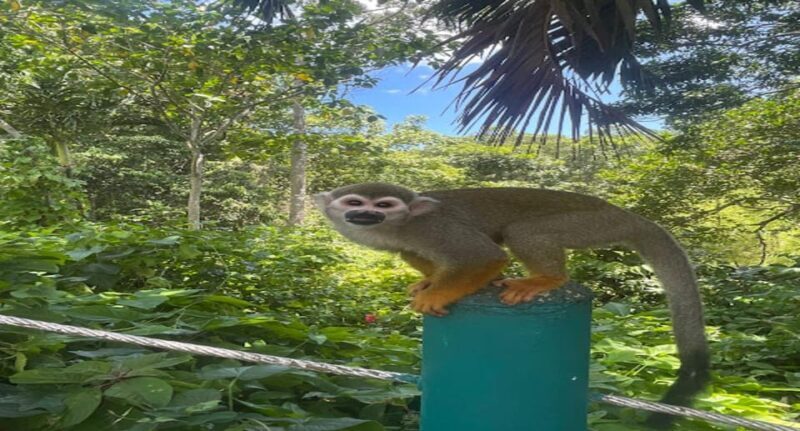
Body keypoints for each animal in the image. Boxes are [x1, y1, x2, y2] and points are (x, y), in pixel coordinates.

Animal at [314, 182, 709, 428]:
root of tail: (625, 214)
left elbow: (484, 255)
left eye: (383, 205)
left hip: (592, 224)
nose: (366, 215)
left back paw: (547, 279)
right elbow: (413, 254)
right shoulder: (409, 240)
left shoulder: (431, 228)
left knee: (523, 231)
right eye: (355, 203)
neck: (398, 226)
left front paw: (437, 293)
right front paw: (432, 281)